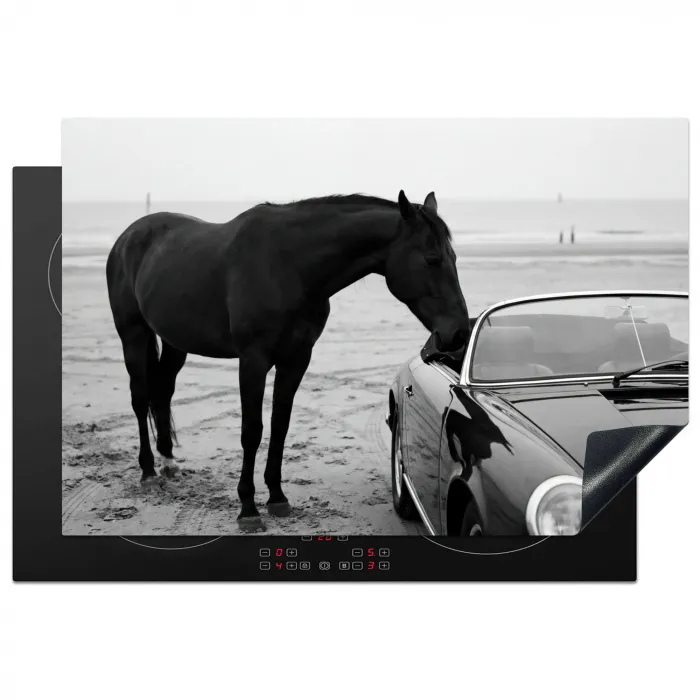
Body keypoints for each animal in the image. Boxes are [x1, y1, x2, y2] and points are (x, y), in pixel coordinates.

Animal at [106, 190, 470, 531]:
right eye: (432, 259)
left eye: (453, 257)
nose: (459, 333)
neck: (289, 265)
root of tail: (128, 237)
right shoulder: (253, 360)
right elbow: (252, 431)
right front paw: (248, 509)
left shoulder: (296, 359)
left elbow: (280, 425)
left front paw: (277, 498)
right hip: (133, 335)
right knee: (140, 398)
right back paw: (148, 472)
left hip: (174, 342)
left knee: (163, 391)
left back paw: (168, 462)